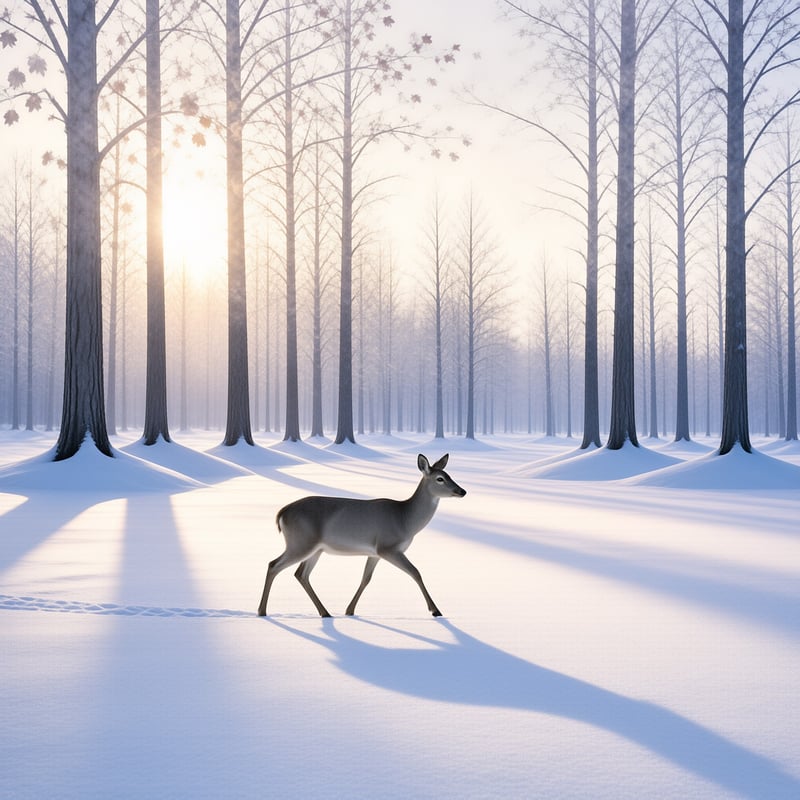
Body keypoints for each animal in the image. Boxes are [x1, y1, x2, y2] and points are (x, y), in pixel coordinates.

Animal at [257, 453, 466, 618]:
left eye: (450, 475)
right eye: (440, 478)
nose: (462, 491)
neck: (405, 519)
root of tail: (281, 513)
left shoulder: (374, 552)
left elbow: (366, 578)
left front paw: (349, 610)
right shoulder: (388, 547)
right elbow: (416, 572)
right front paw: (435, 610)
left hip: (315, 548)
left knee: (301, 574)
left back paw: (325, 612)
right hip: (300, 542)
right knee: (274, 564)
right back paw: (262, 611)